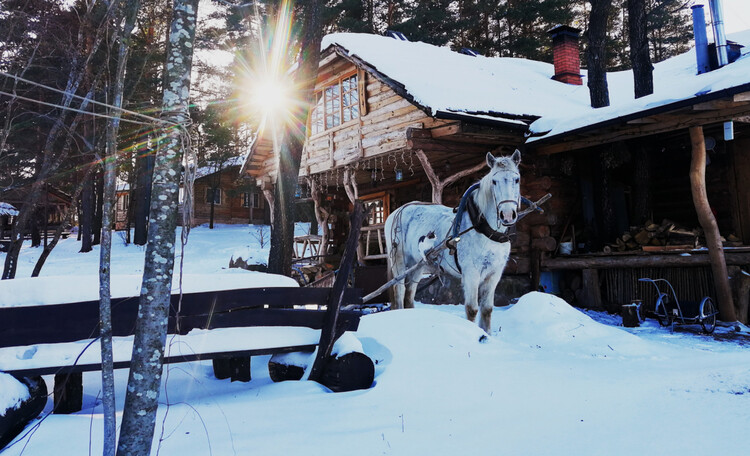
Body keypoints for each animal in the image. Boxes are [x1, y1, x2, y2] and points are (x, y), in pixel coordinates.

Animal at [388, 151, 524, 334]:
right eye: (494, 181)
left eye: (517, 179)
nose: (507, 215)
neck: (484, 229)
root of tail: (397, 211)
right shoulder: (471, 274)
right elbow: (472, 309)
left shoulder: (494, 274)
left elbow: (487, 309)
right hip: (399, 262)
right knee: (399, 291)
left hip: (417, 265)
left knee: (409, 296)